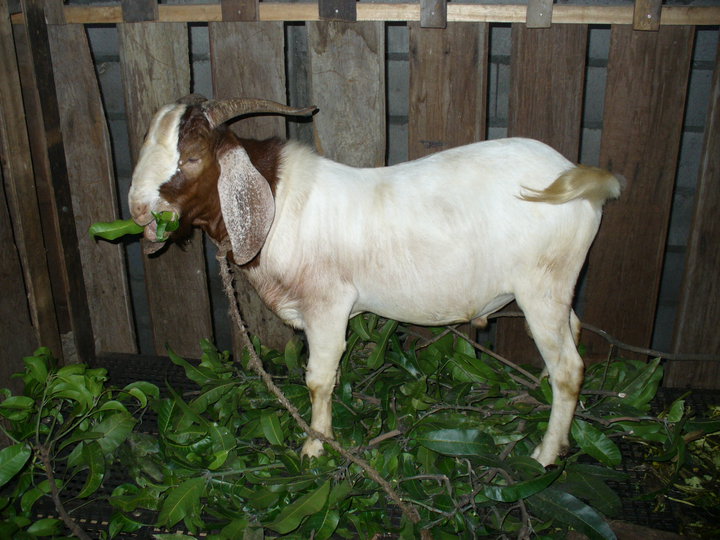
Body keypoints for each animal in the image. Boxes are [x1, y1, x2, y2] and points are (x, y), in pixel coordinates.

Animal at [128, 96, 621, 467]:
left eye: (192, 157)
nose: (137, 211)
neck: (279, 200)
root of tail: (580, 180)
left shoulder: (327, 304)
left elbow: (318, 378)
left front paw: (314, 448)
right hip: (557, 288)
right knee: (574, 333)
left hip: (539, 288)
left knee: (570, 368)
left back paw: (545, 454)